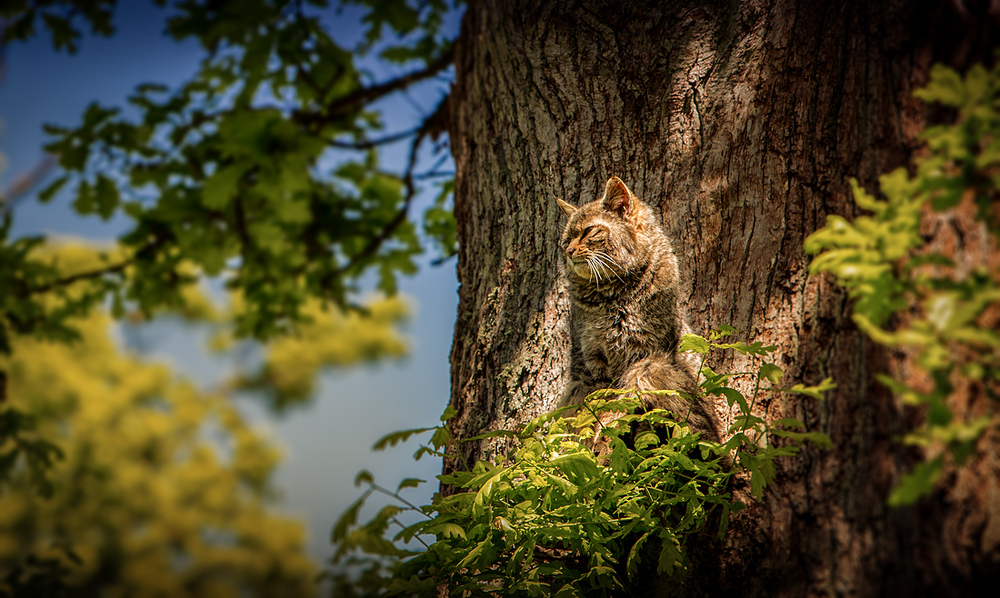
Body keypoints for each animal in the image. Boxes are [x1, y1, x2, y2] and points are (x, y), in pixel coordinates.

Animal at [556, 178, 720, 450]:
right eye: (565, 239)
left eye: (589, 232)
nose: (568, 251)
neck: (611, 295)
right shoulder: (591, 367)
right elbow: (592, 408)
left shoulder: (641, 354)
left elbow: (618, 404)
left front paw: (604, 438)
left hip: (654, 367)